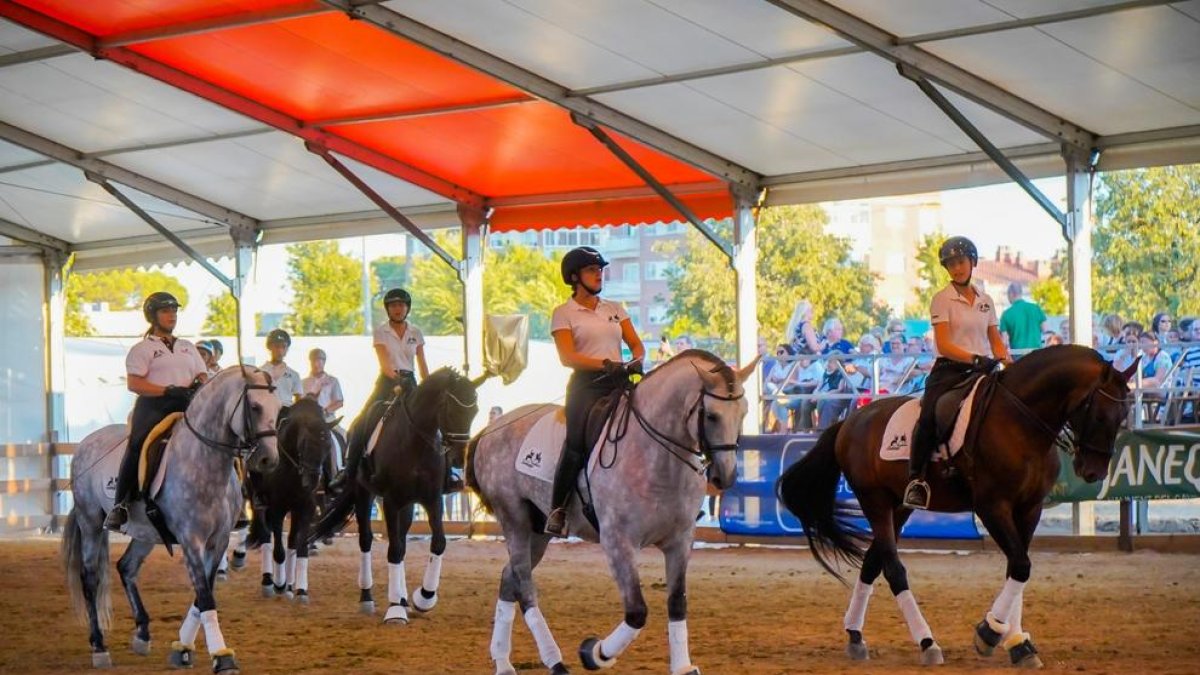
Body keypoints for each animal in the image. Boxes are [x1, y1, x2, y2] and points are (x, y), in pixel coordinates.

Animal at [63, 365, 283, 667]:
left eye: (279, 408)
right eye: (254, 406)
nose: (268, 459)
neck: (203, 461)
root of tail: (85, 443)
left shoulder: (219, 541)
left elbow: (204, 592)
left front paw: (183, 647)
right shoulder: (191, 540)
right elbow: (205, 595)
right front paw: (221, 656)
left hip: (144, 533)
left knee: (127, 568)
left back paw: (142, 633)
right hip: (91, 522)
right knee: (90, 578)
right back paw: (99, 647)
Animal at [250, 393, 340, 598]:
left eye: (327, 445)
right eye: (303, 443)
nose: (312, 481)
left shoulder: (306, 507)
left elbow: (300, 547)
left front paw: (300, 589)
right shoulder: (277, 507)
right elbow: (278, 550)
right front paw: (279, 584)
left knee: (291, 540)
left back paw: (289, 585)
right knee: (266, 536)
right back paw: (269, 581)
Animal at [307, 365, 480, 624]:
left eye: (474, 411)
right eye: (451, 409)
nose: (459, 459)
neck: (416, 442)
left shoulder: (432, 499)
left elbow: (437, 543)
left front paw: (424, 598)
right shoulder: (390, 500)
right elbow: (394, 549)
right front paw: (395, 610)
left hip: (407, 506)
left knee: (402, 540)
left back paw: (404, 598)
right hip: (364, 494)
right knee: (366, 540)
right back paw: (367, 597)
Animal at [465, 348, 748, 667]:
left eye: (744, 413)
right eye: (711, 415)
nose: (725, 476)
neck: (658, 459)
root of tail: (490, 430)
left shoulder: (680, 540)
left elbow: (677, 603)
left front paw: (683, 667)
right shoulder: (617, 542)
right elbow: (637, 612)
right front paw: (594, 653)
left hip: (538, 531)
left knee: (508, 579)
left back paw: (502, 661)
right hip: (514, 519)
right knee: (525, 588)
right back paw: (554, 661)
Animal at [777, 343, 1132, 662]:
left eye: (1124, 414)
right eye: (1099, 413)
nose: (1093, 471)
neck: (1020, 423)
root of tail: (849, 422)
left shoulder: (1029, 508)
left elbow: (1016, 567)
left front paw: (1017, 642)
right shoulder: (992, 506)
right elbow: (1020, 565)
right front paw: (989, 634)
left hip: (899, 506)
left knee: (872, 563)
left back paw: (855, 635)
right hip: (873, 500)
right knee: (893, 569)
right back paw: (927, 643)